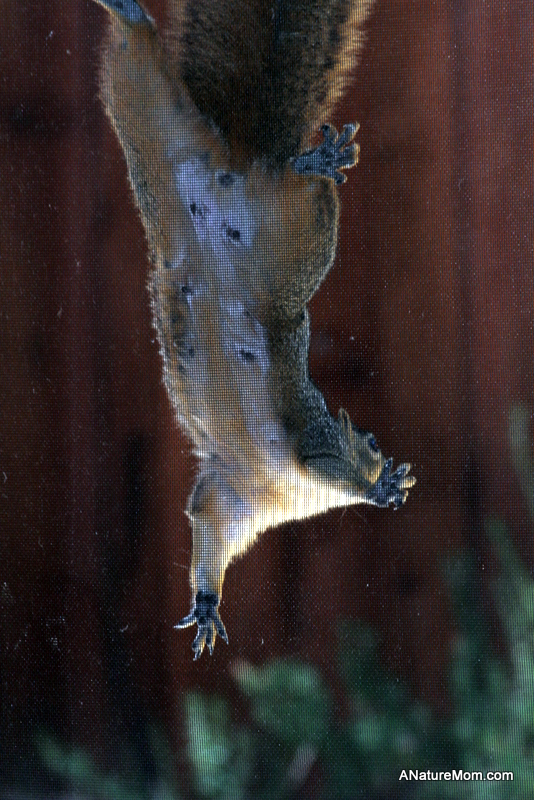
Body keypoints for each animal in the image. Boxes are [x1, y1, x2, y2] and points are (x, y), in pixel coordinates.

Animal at [92, 0, 416, 659]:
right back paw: (317, 161)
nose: (383, 460)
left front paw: (206, 605)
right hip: (301, 236)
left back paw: (125, 12)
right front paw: (382, 486)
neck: (275, 490)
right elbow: (329, 463)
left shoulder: (229, 501)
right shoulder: (311, 447)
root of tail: (240, 163)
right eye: (368, 438)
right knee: (305, 187)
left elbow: (206, 532)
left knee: (135, 63)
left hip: (153, 131)